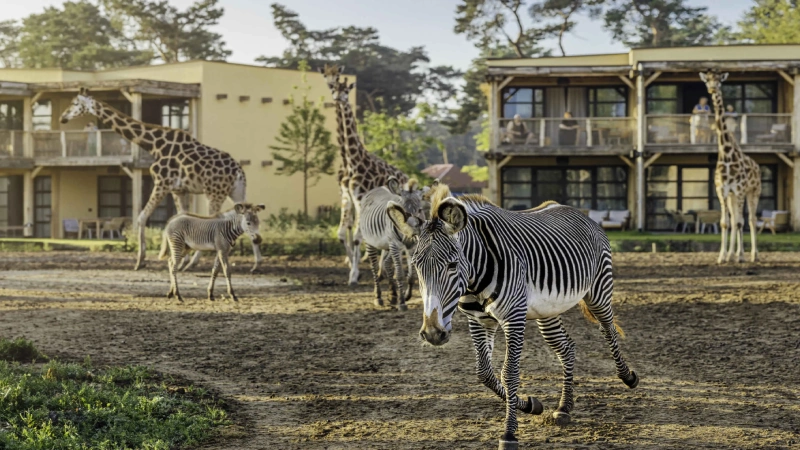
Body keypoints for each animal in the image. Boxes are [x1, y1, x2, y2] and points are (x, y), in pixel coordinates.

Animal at [59, 88, 263, 272]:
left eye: (75, 103)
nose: (62, 118)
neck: (154, 145)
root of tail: (238, 171)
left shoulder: (161, 183)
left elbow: (142, 217)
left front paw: (140, 262)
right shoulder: (178, 189)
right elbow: (183, 216)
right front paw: (180, 257)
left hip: (214, 192)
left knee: (215, 218)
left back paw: (194, 263)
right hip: (236, 191)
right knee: (247, 211)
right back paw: (256, 265)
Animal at [319, 65, 408, 285]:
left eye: (346, 89)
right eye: (329, 83)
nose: (337, 98)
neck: (352, 161)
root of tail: (403, 175)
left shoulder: (359, 198)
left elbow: (359, 235)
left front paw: (354, 274)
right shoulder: (346, 196)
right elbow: (343, 232)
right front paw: (354, 267)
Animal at [700, 71, 761, 264]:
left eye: (719, 81)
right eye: (707, 80)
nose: (712, 89)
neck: (727, 154)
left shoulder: (740, 189)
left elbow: (741, 222)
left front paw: (740, 256)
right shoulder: (723, 190)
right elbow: (725, 222)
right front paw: (722, 256)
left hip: (753, 192)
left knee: (751, 220)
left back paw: (753, 255)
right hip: (733, 196)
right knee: (735, 220)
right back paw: (732, 255)